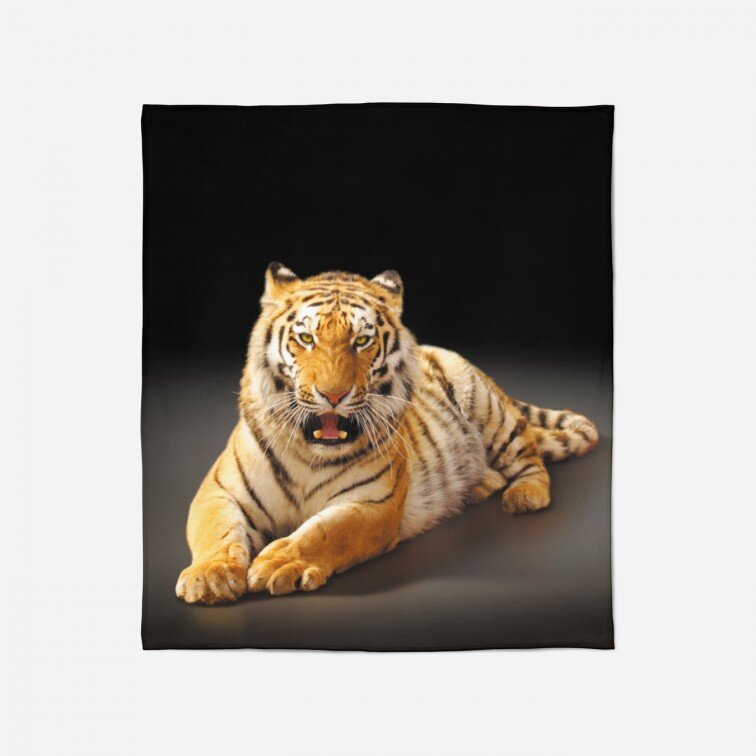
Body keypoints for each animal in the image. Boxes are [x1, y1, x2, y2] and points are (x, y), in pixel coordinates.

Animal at [175, 263, 599, 604]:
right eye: (306, 338)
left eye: (361, 341)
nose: (333, 395)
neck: (310, 454)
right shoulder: (218, 490)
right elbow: (217, 530)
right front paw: (210, 577)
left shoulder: (371, 504)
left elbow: (323, 532)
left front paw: (278, 563)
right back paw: (479, 485)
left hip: (489, 411)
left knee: (530, 455)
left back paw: (524, 495)